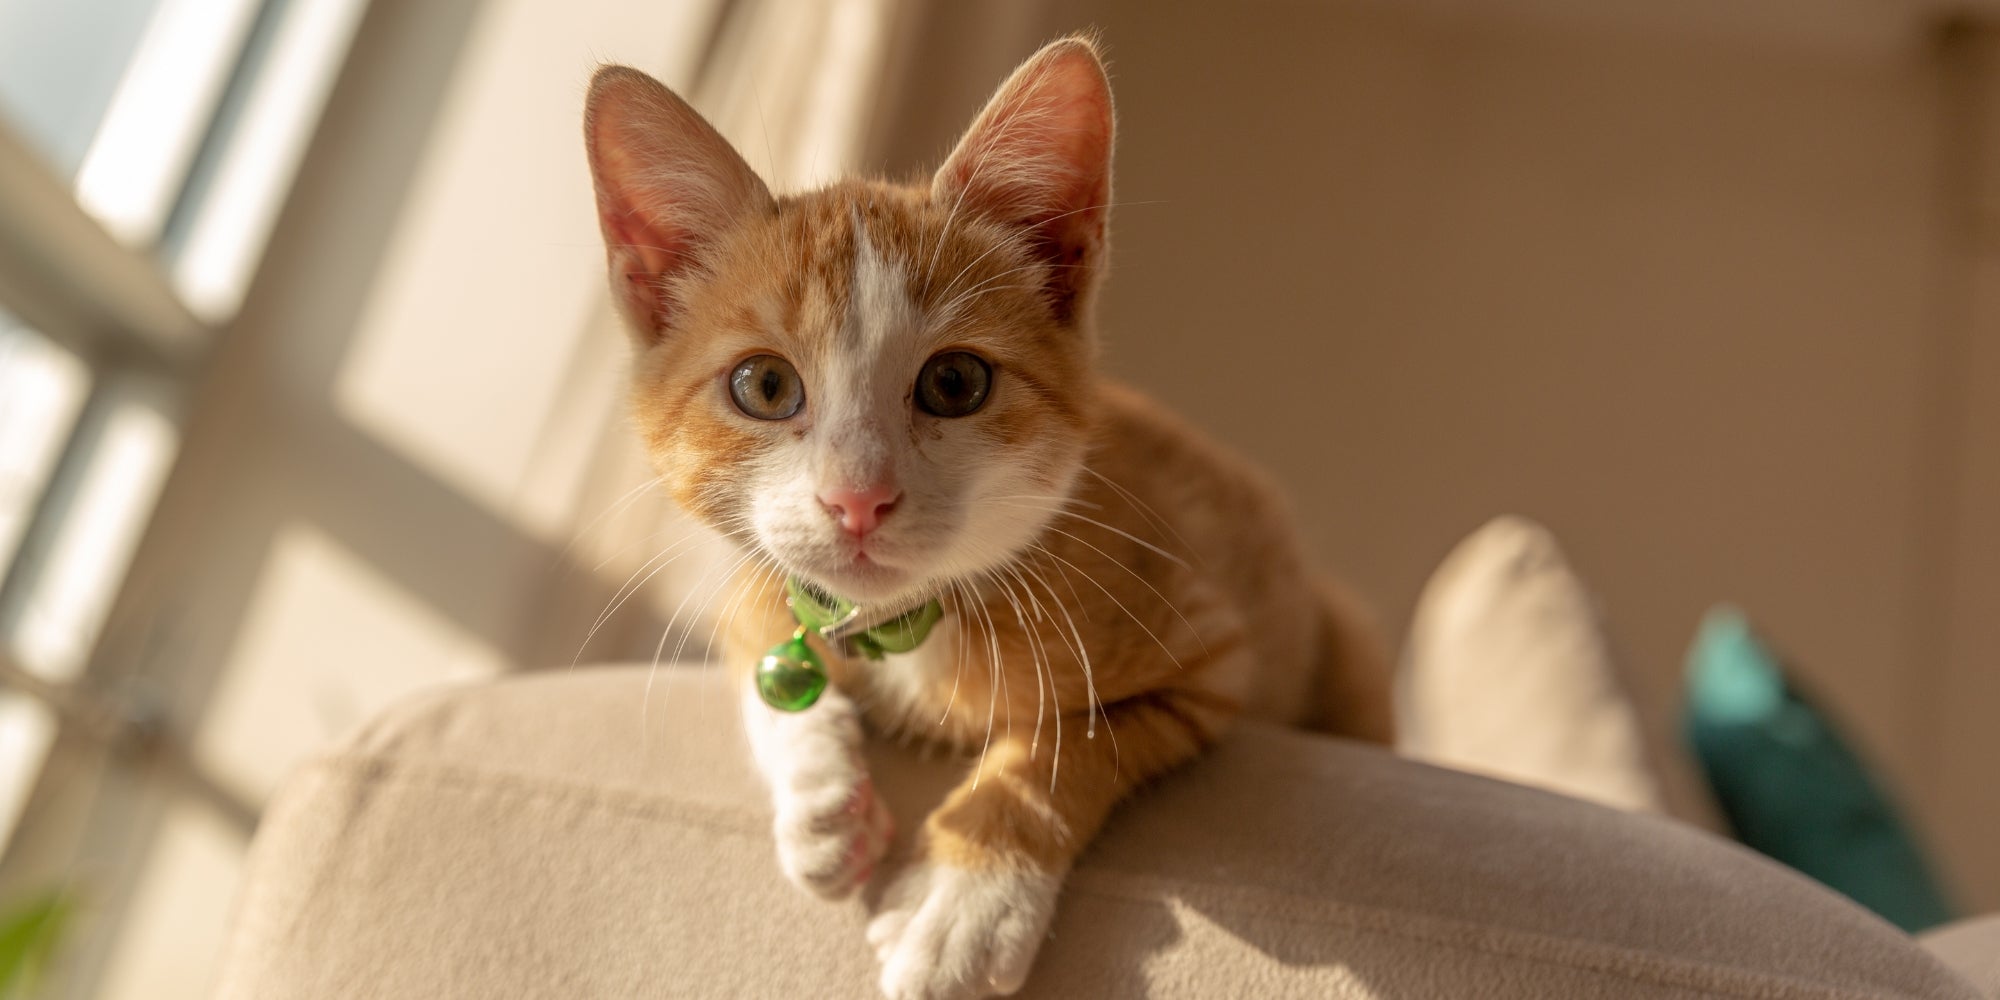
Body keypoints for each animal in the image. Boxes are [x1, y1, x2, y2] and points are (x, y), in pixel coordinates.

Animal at [580, 33, 1392, 1000]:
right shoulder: (752, 584)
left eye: (955, 382)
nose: (858, 497)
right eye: (765, 386)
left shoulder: (1210, 648)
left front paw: (968, 900)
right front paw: (821, 798)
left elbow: (1065, 744)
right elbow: (769, 656)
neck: (908, 629)